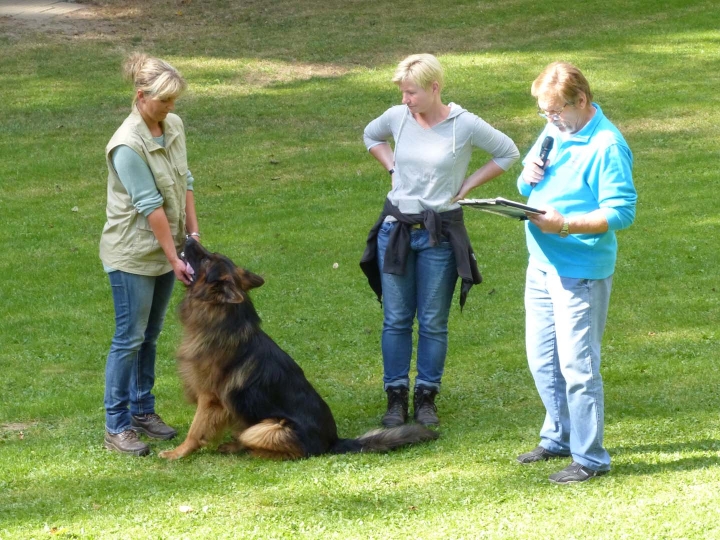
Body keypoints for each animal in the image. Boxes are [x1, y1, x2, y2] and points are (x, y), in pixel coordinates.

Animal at [159, 239, 438, 460]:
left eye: (206, 259)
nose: (189, 238)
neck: (223, 317)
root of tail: (333, 441)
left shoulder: (209, 400)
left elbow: (195, 430)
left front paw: (178, 453)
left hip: (263, 428)